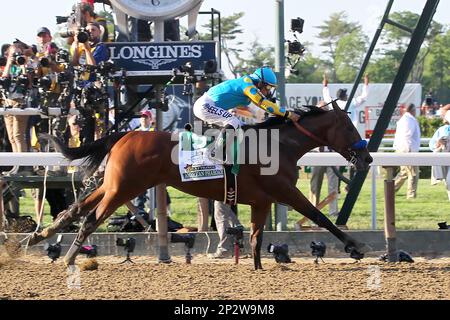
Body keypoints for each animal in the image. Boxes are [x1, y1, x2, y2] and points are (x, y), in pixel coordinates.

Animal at [29, 101, 372, 268]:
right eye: (349, 126)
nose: (367, 158)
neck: (278, 145)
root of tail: (126, 134)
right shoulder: (284, 191)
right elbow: (319, 216)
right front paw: (356, 247)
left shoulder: (262, 201)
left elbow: (257, 237)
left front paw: (258, 267)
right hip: (123, 188)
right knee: (89, 218)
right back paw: (69, 257)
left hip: (113, 185)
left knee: (73, 210)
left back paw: (38, 237)